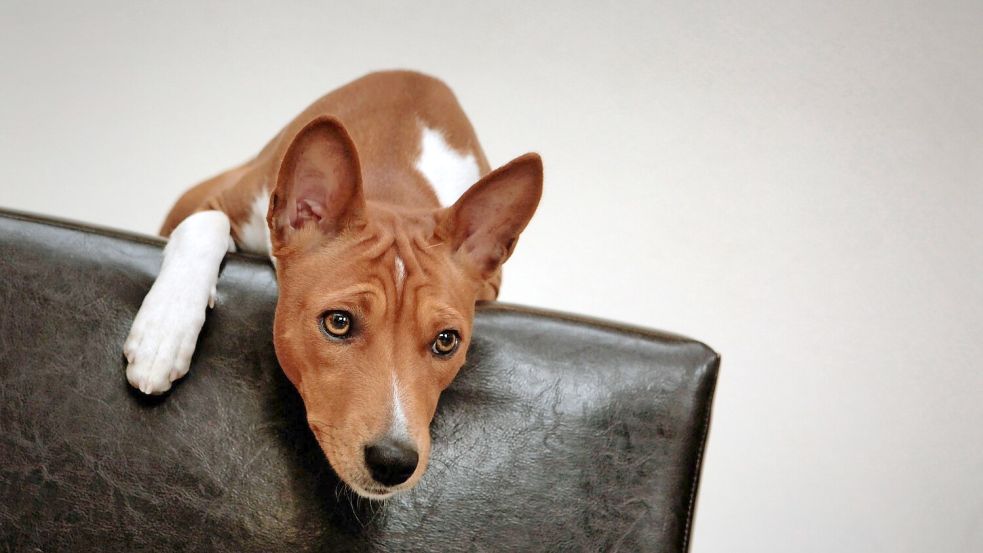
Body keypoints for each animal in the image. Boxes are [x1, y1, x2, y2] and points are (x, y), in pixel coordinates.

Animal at [121, 71, 544, 498]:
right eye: (338, 322)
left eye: (446, 341)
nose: (393, 461)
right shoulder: (215, 201)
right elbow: (206, 226)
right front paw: (163, 336)